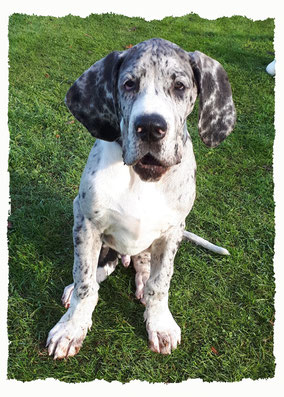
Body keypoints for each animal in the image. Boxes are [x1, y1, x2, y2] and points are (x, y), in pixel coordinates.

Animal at [46, 38, 236, 358]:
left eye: (180, 86)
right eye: (129, 84)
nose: (149, 127)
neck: (144, 177)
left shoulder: (173, 231)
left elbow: (161, 283)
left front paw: (159, 323)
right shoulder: (85, 222)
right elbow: (84, 281)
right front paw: (71, 327)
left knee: (145, 265)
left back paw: (142, 281)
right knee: (99, 269)